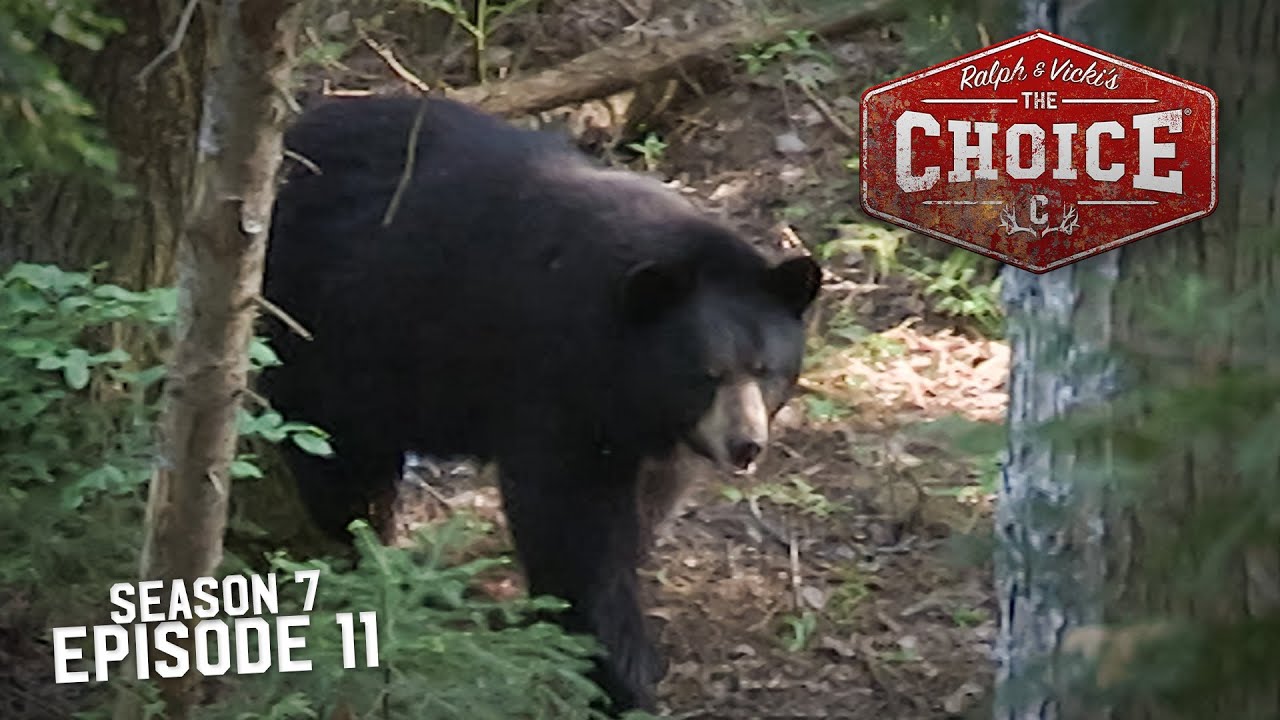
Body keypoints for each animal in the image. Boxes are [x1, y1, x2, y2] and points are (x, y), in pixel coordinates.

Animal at [260, 96, 821, 714]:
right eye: (707, 374)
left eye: (766, 370)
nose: (745, 445)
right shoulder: (550, 379)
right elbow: (572, 523)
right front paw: (615, 667)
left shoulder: (648, 433)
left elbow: (646, 503)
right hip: (327, 330)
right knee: (336, 454)